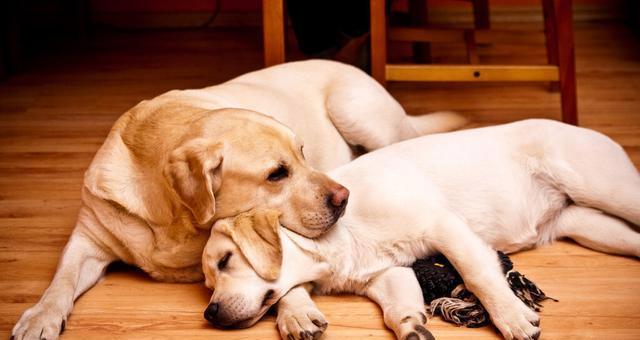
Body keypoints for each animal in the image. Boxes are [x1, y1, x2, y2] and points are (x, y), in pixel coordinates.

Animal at [11, 59, 464, 340]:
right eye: (277, 174)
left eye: (304, 153)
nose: (342, 197)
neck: (171, 216)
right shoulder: (87, 238)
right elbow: (60, 280)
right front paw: (39, 317)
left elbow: (282, 275)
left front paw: (295, 311)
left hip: (356, 110)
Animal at [204, 119, 640, 340]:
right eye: (209, 282)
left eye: (226, 261)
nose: (209, 312)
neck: (339, 241)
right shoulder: (388, 273)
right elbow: (396, 308)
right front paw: (411, 325)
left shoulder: (444, 227)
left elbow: (479, 275)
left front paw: (513, 318)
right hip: (589, 225)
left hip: (607, 190)